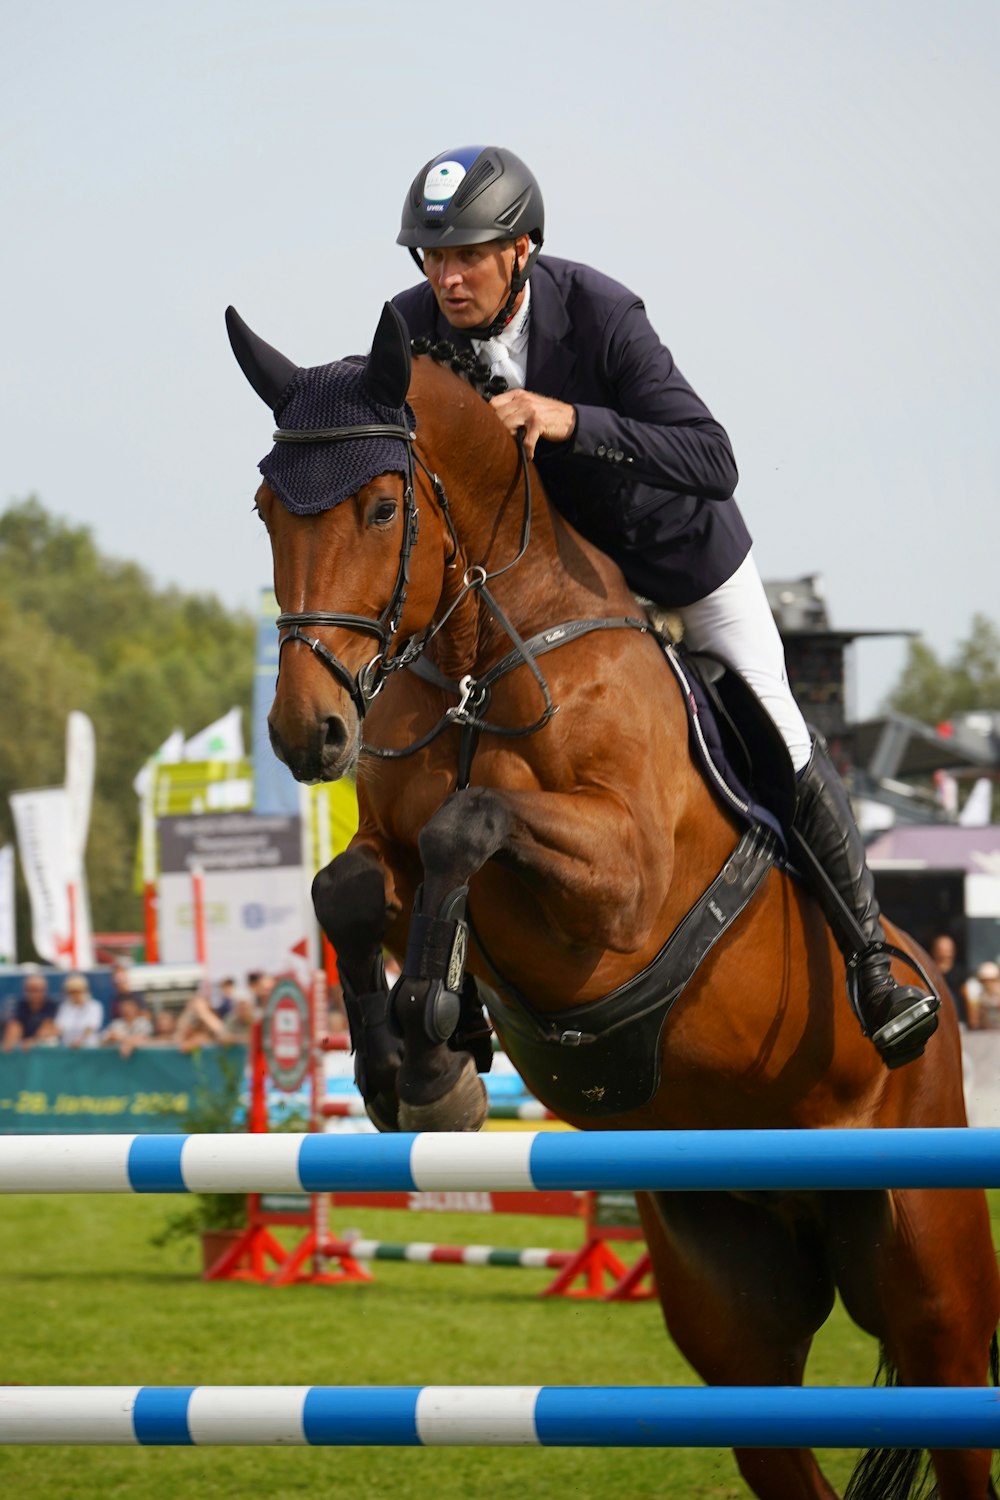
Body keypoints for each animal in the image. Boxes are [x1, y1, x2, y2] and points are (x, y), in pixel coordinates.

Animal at [229, 298, 1000, 1494]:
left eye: (382, 505)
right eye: (268, 508)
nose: (305, 734)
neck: (479, 653)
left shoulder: (623, 883)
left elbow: (471, 823)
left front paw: (434, 1037)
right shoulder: (396, 855)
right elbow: (348, 885)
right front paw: (414, 1069)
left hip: (932, 1287)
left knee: (951, 1389)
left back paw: (891, 998)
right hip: (729, 1299)